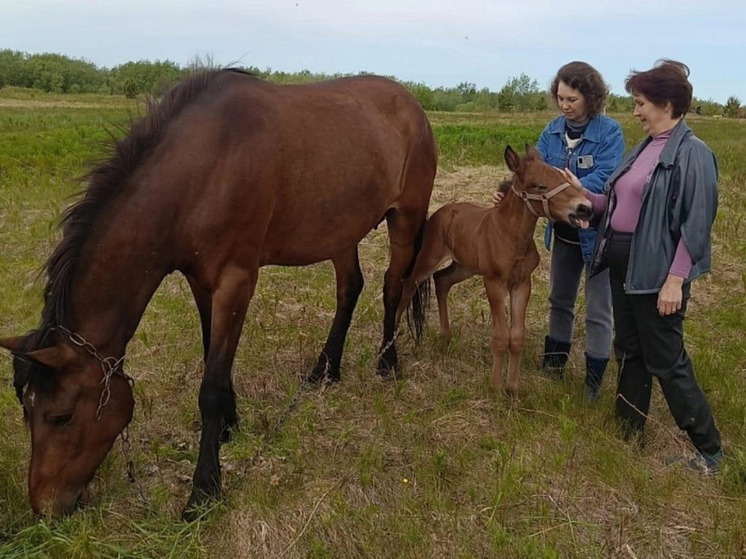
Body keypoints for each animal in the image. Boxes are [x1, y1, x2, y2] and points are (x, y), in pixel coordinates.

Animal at [0, 70, 436, 520]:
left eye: (61, 416)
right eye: (26, 410)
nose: (45, 508)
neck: (201, 169)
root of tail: (410, 102)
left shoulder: (235, 281)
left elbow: (209, 385)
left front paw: (203, 490)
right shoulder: (201, 281)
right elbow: (215, 355)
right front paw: (229, 426)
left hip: (406, 218)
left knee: (393, 287)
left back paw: (387, 362)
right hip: (340, 228)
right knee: (350, 288)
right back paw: (325, 370)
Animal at [396, 145, 588, 398]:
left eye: (561, 176)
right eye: (539, 186)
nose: (584, 208)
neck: (511, 235)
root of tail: (441, 212)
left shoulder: (522, 284)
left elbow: (516, 336)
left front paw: (513, 389)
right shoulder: (494, 282)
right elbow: (500, 336)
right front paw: (496, 387)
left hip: (464, 266)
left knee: (442, 280)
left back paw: (446, 336)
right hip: (429, 258)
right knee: (409, 285)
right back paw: (393, 337)